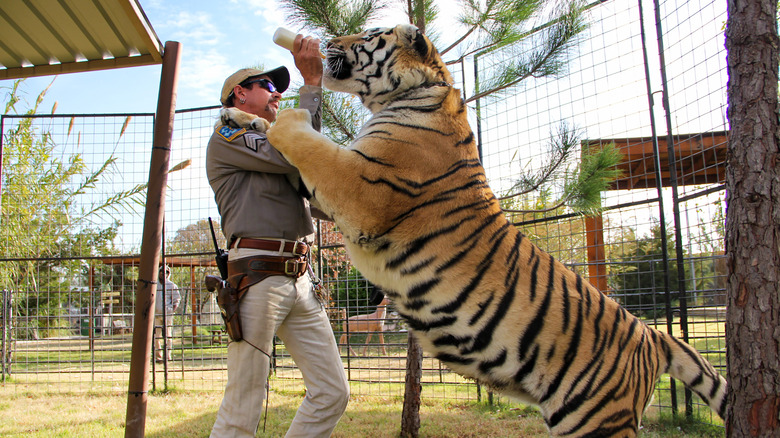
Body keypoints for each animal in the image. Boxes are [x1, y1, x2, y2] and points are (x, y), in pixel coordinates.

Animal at [222, 23, 728, 438]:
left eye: (367, 34)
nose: (326, 41)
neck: (411, 94)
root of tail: (652, 335)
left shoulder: (358, 187)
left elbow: (304, 139)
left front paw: (284, 115)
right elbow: (275, 136)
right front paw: (240, 118)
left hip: (597, 419)